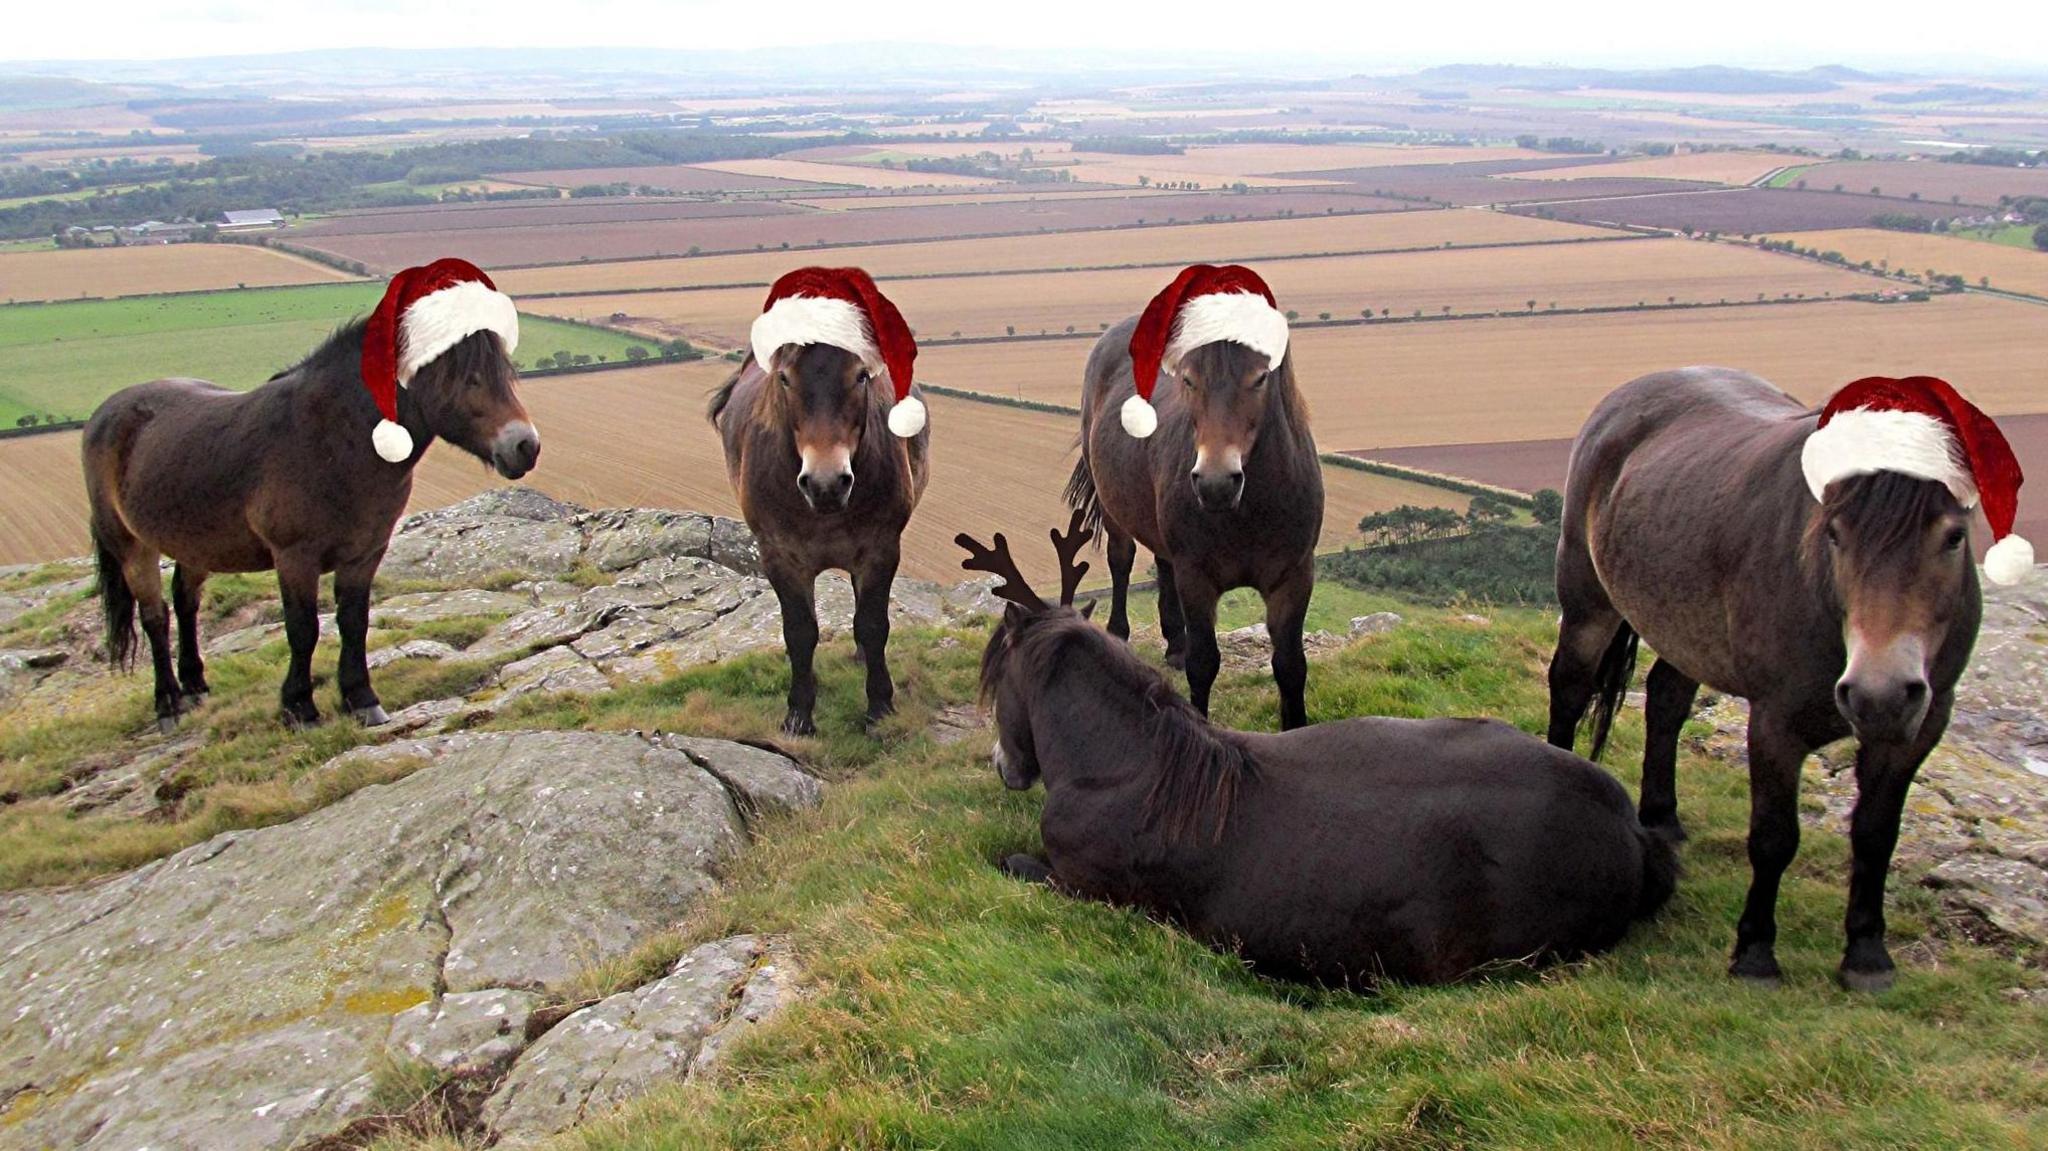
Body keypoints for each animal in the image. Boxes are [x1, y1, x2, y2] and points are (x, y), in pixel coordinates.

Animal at [84, 258, 540, 725]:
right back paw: (169, 703)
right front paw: (299, 706)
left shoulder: (364, 553)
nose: (525, 446)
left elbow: (354, 622)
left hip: (195, 542)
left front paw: (361, 698)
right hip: (133, 545)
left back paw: (195, 685)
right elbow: (303, 630)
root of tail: (107, 412)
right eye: (466, 377)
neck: (335, 443)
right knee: (154, 617)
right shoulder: (295, 557)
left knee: (185, 601)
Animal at [704, 268, 929, 729]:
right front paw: (799, 713)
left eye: (861, 376)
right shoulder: (781, 557)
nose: (826, 483)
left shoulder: (880, 549)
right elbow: (800, 632)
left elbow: (872, 625)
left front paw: (879, 707)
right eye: (785, 378)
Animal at [962, 516, 1679, 983]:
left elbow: (1007, 861)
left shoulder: (1079, 882)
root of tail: (1631, 831)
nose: (1004, 766)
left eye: (997, 677)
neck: (1127, 761)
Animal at [1540, 364, 2023, 987]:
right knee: (1571, 690)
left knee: (1667, 702)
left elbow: (1876, 837)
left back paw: (1664, 818)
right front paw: (1755, 953)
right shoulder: (1775, 723)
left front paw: (1867, 952)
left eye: (1954, 537)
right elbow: (1773, 838)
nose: (1880, 694)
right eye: (1835, 534)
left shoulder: (1919, 727)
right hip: (1588, 602)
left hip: (1685, 631)